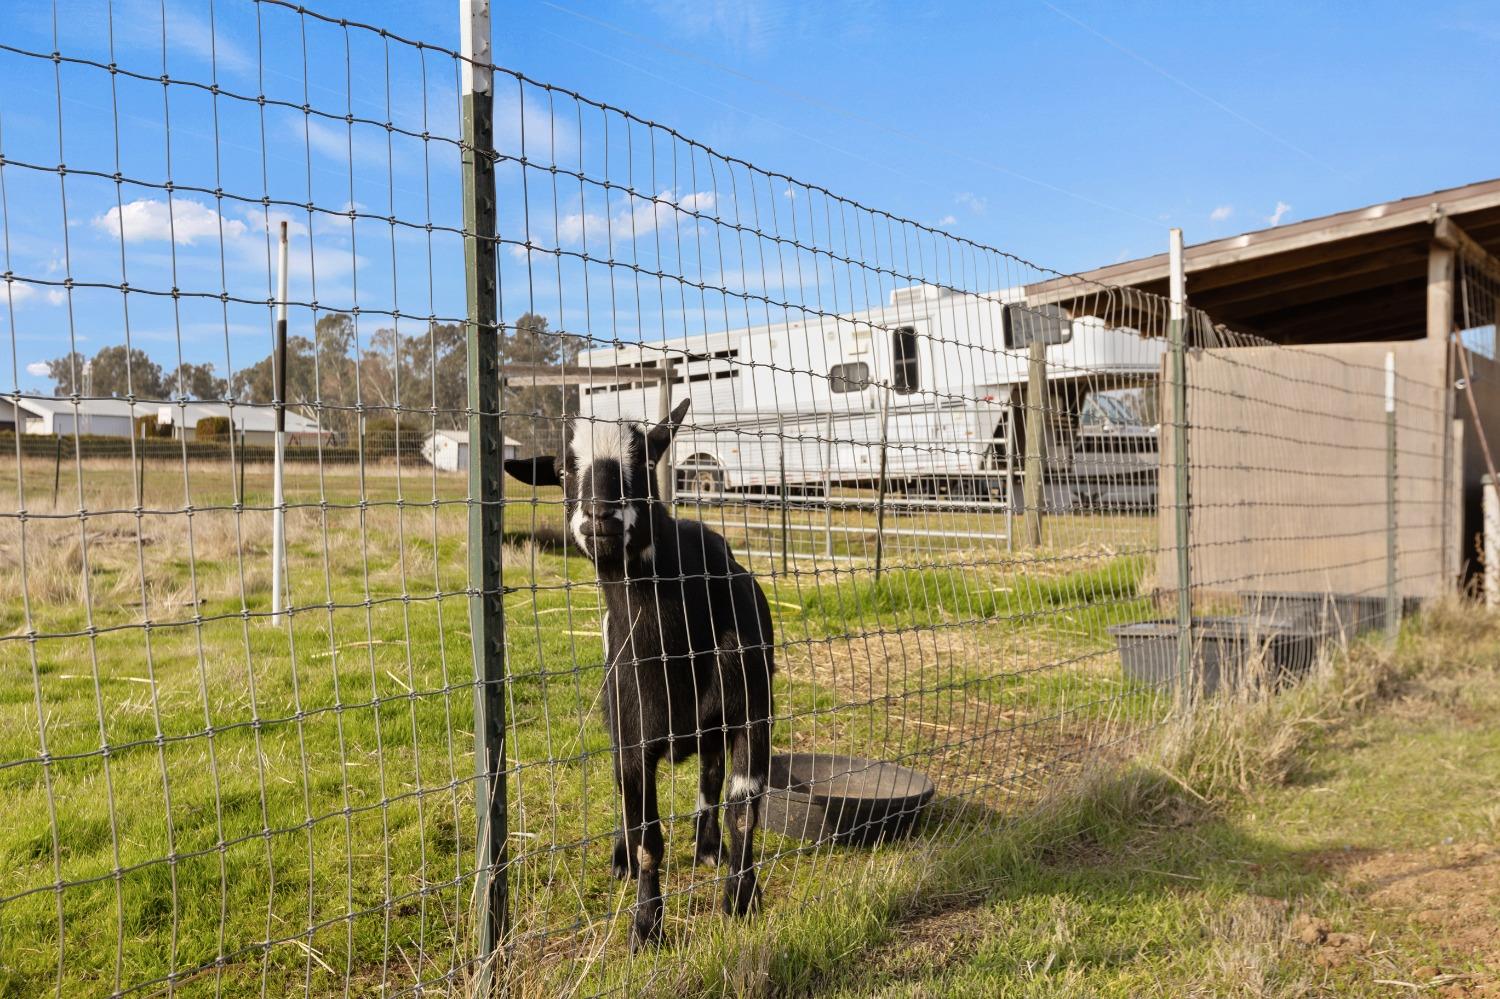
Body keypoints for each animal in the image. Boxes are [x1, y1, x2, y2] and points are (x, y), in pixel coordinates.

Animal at [510, 399, 780, 948]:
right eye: (564, 470)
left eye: (645, 458)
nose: (600, 515)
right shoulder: (634, 732)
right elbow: (647, 838)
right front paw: (646, 927)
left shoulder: (752, 716)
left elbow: (744, 812)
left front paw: (741, 900)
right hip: (617, 717)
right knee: (626, 794)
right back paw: (622, 862)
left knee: (709, 779)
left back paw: (708, 847)